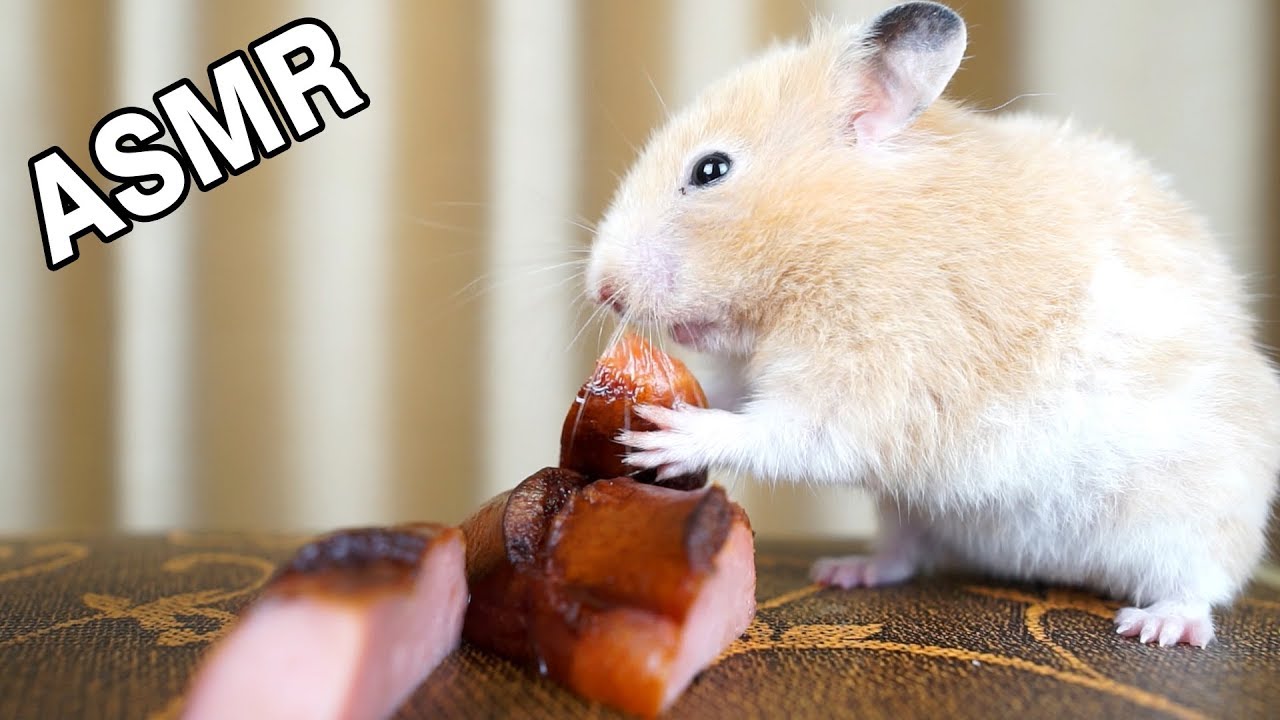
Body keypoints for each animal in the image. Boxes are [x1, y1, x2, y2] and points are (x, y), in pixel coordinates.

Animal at [584, 1, 1280, 647]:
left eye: (711, 169)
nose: (603, 288)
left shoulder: (873, 374)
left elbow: (782, 432)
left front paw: (665, 438)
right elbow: (734, 398)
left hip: (1191, 519)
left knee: (1203, 581)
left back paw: (1160, 627)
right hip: (908, 508)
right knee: (905, 555)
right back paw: (845, 570)